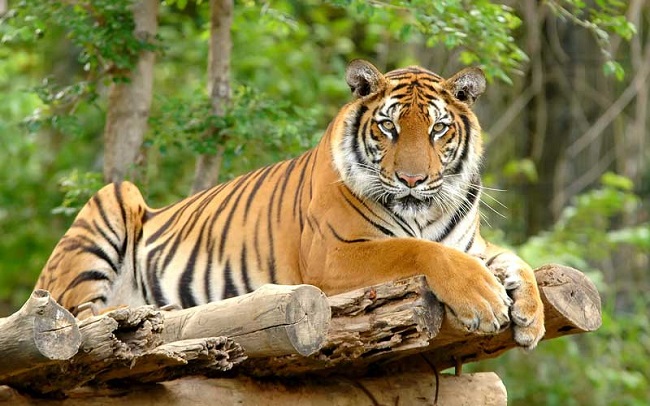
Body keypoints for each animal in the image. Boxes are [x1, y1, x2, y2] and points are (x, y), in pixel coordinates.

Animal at [34, 59, 540, 348]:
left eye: (438, 129)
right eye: (388, 127)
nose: (412, 179)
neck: (424, 211)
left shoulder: (472, 245)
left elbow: (517, 260)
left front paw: (531, 316)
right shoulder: (333, 255)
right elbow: (416, 249)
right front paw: (484, 301)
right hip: (112, 203)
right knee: (81, 315)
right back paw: (155, 313)